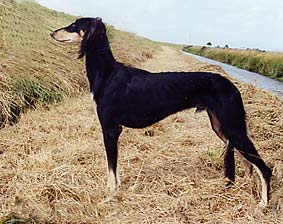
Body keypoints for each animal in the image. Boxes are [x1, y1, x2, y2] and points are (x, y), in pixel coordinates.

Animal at [51, 18, 272, 208]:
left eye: (74, 25)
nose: (52, 32)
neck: (107, 73)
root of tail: (232, 85)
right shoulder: (112, 130)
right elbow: (112, 169)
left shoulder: (110, 129)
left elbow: (111, 168)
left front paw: (111, 195)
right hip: (222, 128)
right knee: (248, 163)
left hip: (233, 127)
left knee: (264, 168)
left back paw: (263, 204)